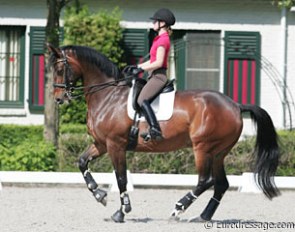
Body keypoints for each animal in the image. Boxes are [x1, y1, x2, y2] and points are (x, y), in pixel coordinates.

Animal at [47, 44, 280, 223]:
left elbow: (121, 178)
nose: (58, 98)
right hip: (218, 152)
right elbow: (81, 162)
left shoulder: (115, 145)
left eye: (59, 68)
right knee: (221, 183)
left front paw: (121, 212)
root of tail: (236, 105)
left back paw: (179, 207)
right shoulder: (102, 144)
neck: (108, 95)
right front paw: (99, 194)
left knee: (205, 180)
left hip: (203, 148)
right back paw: (202, 216)